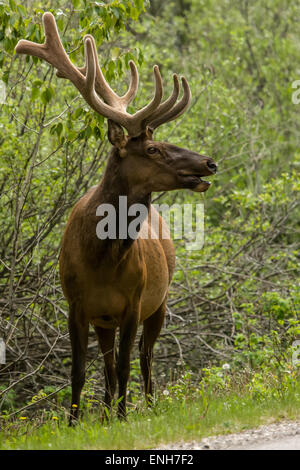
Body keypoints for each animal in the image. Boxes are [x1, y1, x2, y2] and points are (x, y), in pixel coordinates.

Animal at [15, 12, 217, 426]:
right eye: (153, 149)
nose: (209, 162)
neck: (101, 258)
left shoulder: (133, 303)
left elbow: (126, 365)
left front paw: (124, 417)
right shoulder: (77, 305)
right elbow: (80, 370)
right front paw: (75, 422)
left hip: (160, 301)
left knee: (145, 357)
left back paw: (146, 405)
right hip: (105, 319)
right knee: (109, 365)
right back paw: (107, 411)